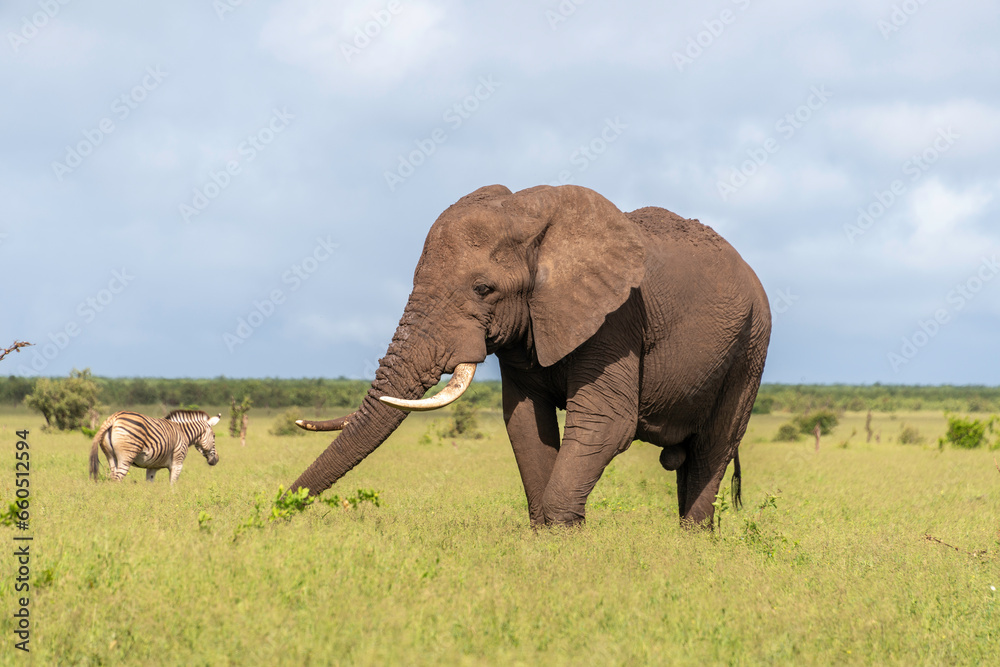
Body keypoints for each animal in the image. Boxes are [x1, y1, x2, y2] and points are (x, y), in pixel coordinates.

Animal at [290, 184, 771, 527]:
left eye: (483, 289)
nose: (280, 510)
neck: (530, 214)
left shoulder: (617, 318)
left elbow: (606, 422)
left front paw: (563, 538)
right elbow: (524, 421)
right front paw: (547, 539)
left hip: (751, 346)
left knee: (713, 447)